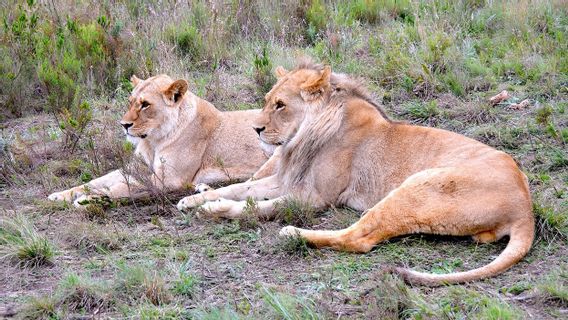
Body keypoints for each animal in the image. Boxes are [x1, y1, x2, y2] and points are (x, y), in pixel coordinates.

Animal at [47, 74, 274, 206]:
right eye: (130, 102)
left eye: (145, 104)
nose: (124, 125)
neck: (153, 140)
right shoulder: (134, 168)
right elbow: (94, 181)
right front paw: (62, 194)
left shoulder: (169, 179)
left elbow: (122, 188)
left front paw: (88, 199)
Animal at [176, 62, 532, 284]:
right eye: (266, 101)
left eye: (280, 105)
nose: (256, 129)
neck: (305, 135)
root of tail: (526, 209)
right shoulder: (284, 179)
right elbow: (238, 189)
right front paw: (194, 200)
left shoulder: (315, 197)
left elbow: (259, 207)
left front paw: (215, 209)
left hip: (414, 186)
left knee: (358, 238)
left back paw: (292, 234)